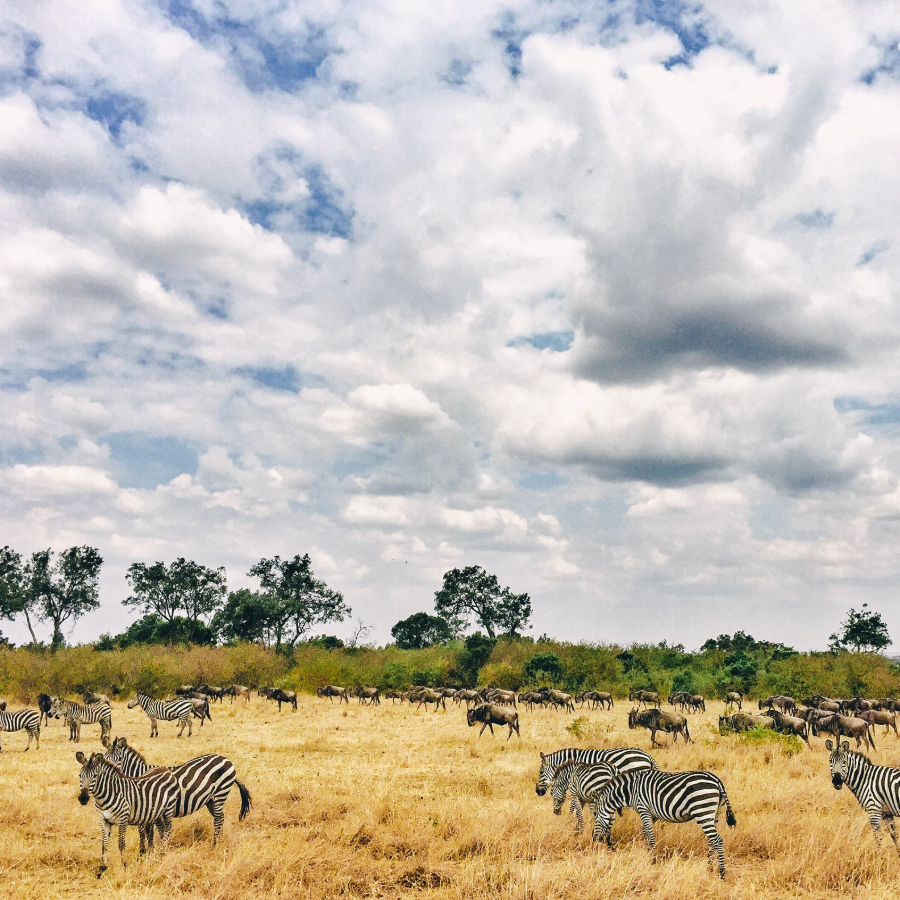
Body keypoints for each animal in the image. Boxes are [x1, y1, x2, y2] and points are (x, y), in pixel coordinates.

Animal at [76, 748, 179, 876]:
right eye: (80, 775)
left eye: (95, 776)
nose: (83, 798)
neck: (103, 798)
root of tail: (166, 769)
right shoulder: (103, 819)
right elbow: (104, 844)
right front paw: (102, 868)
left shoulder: (123, 819)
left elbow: (121, 844)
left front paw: (123, 866)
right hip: (157, 812)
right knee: (161, 828)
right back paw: (161, 850)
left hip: (169, 808)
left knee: (168, 828)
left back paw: (162, 850)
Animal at [103, 736, 255, 848]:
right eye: (105, 758)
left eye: (120, 759)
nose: (111, 773)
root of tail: (225, 759)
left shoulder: (148, 809)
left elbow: (146, 832)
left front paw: (146, 853)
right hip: (211, 799)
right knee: (220, 817)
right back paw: (218, 841)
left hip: (220, 794)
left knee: (218, 818)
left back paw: (215, 845)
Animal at [592, 768, 740, 880]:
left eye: (596, 819)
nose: (594, 840)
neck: (631, 790)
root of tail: (716, 780)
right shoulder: (652, 814)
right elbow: (646, 832)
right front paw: (649, 854)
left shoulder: (643, 809)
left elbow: (650, 834)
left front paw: (653, 860)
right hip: (714, 814)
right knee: (712, 840)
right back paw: (709, 867)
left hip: (703, 811)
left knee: (717, 840)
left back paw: (721, 873)